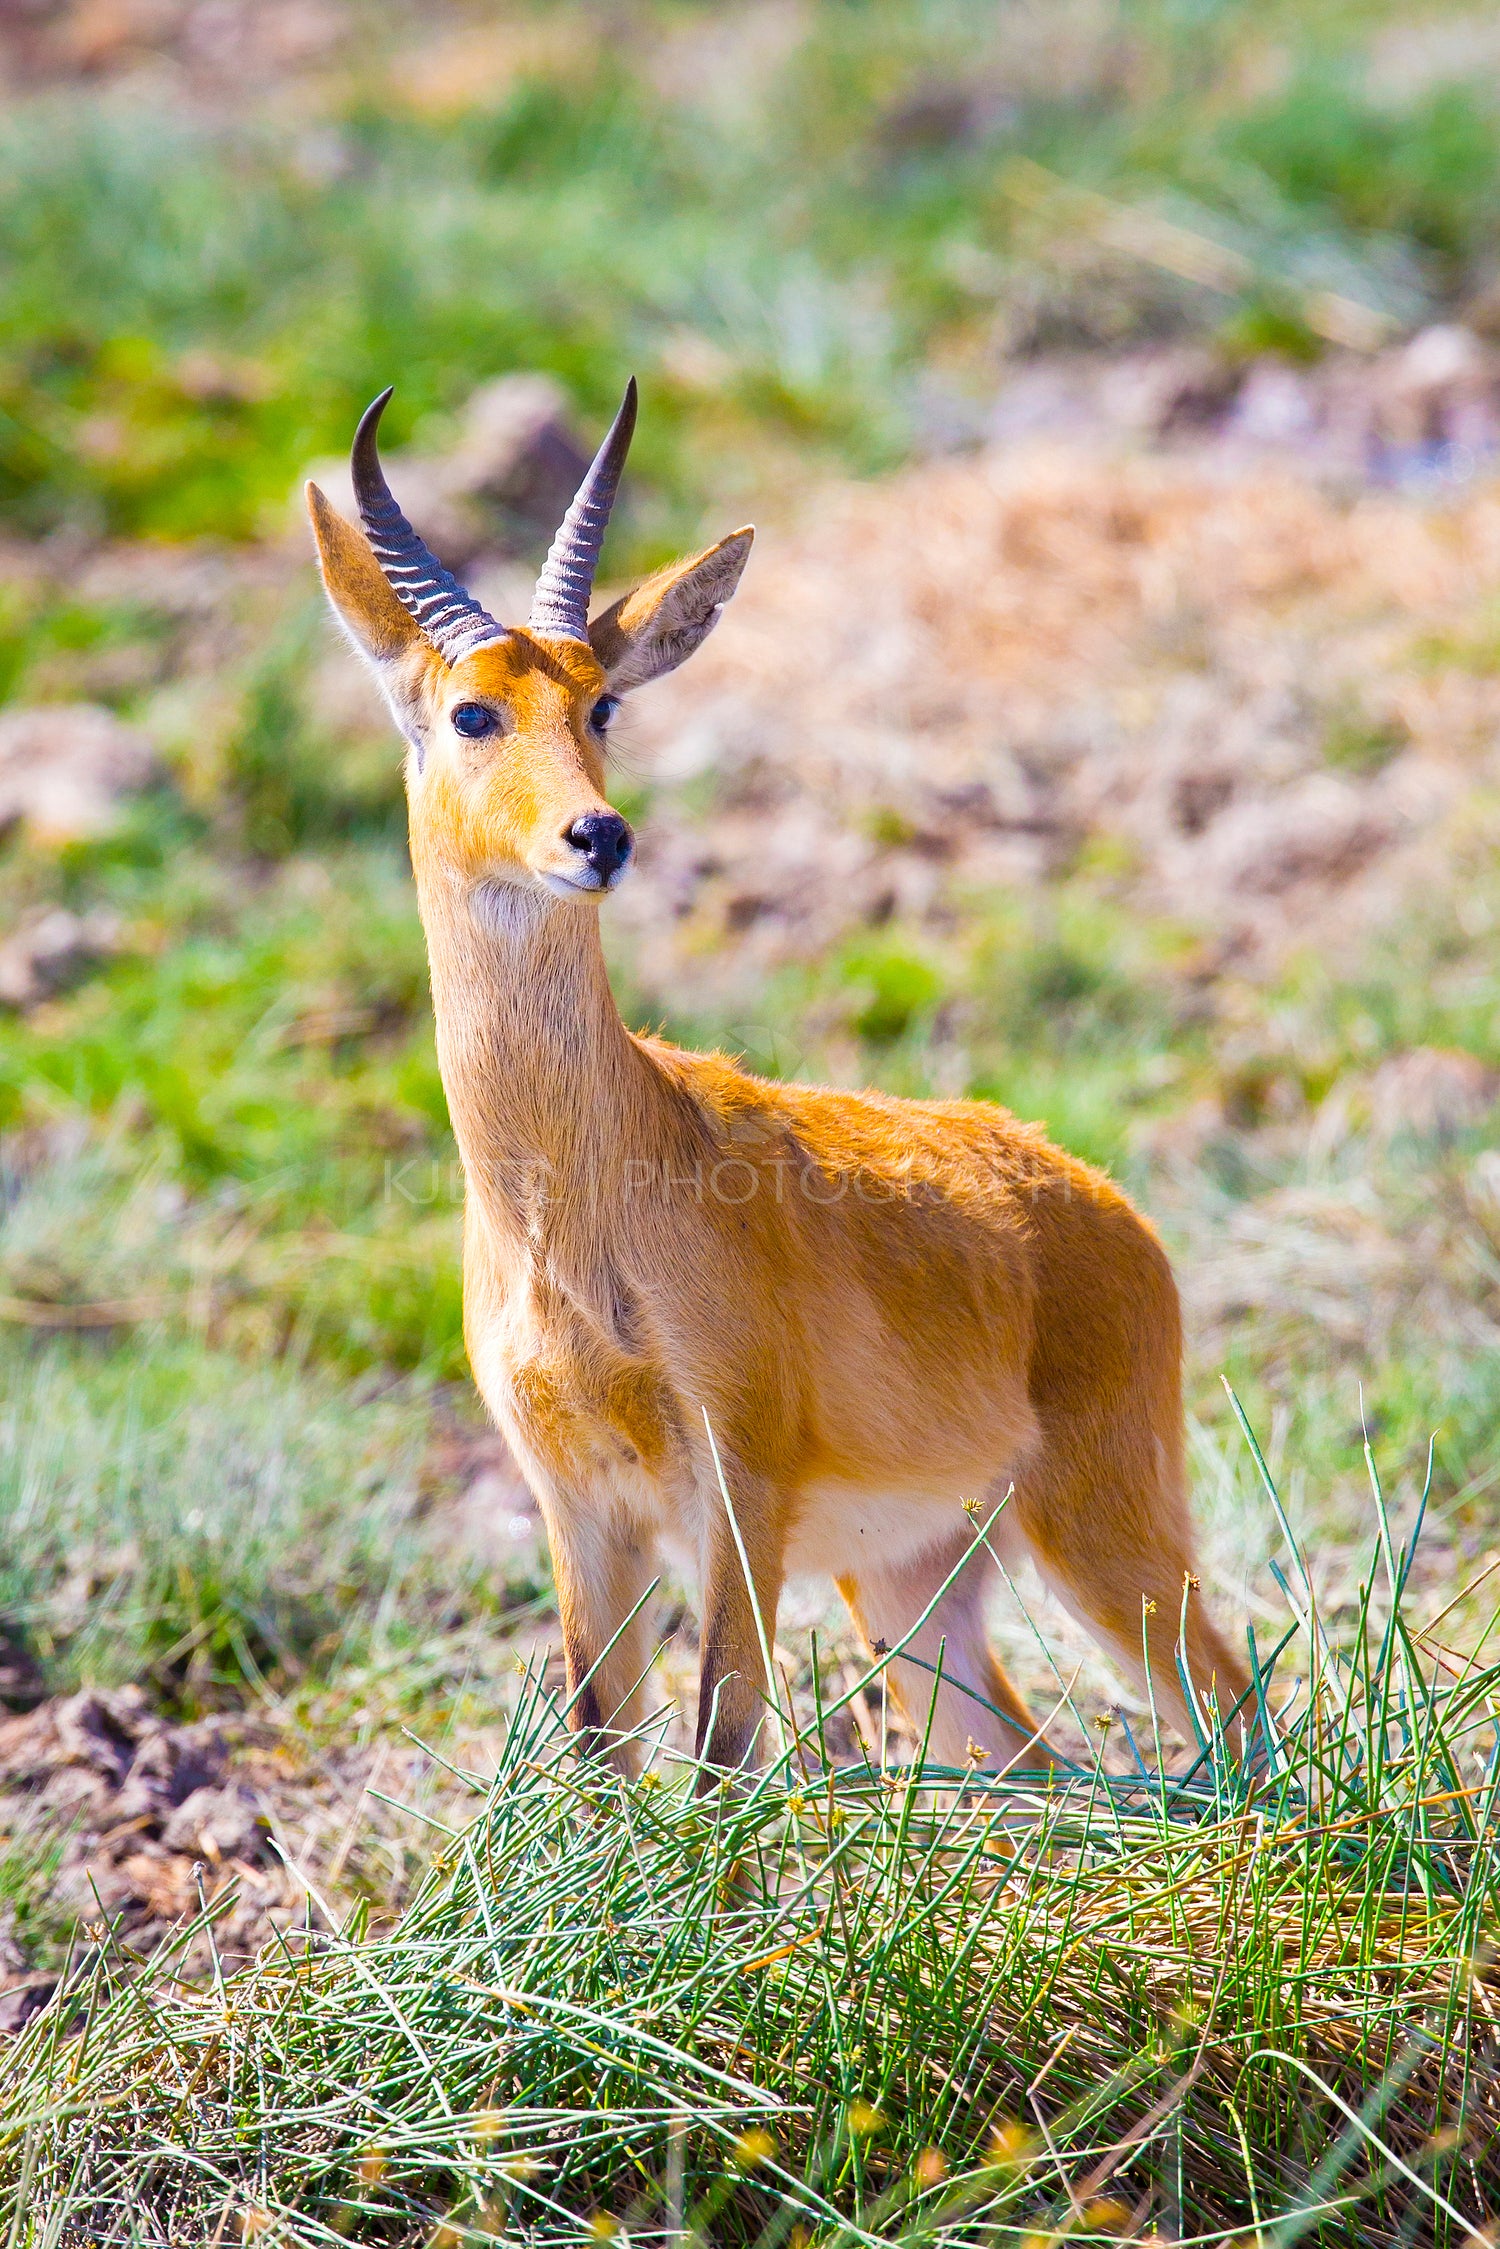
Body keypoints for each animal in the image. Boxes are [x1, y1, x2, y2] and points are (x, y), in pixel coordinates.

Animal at [308, 377, 1259, 1772]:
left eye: (602, 702)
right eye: (472, 709)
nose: (599, 836)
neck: (577, 1208)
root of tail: (1104, 1206)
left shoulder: (738, 1487)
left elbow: (719, 1740)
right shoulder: (579, 1507)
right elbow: (602, 1748)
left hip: (1099, 1530)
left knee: (1235, 1711)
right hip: (915, 1589)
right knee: (1036, 1756)